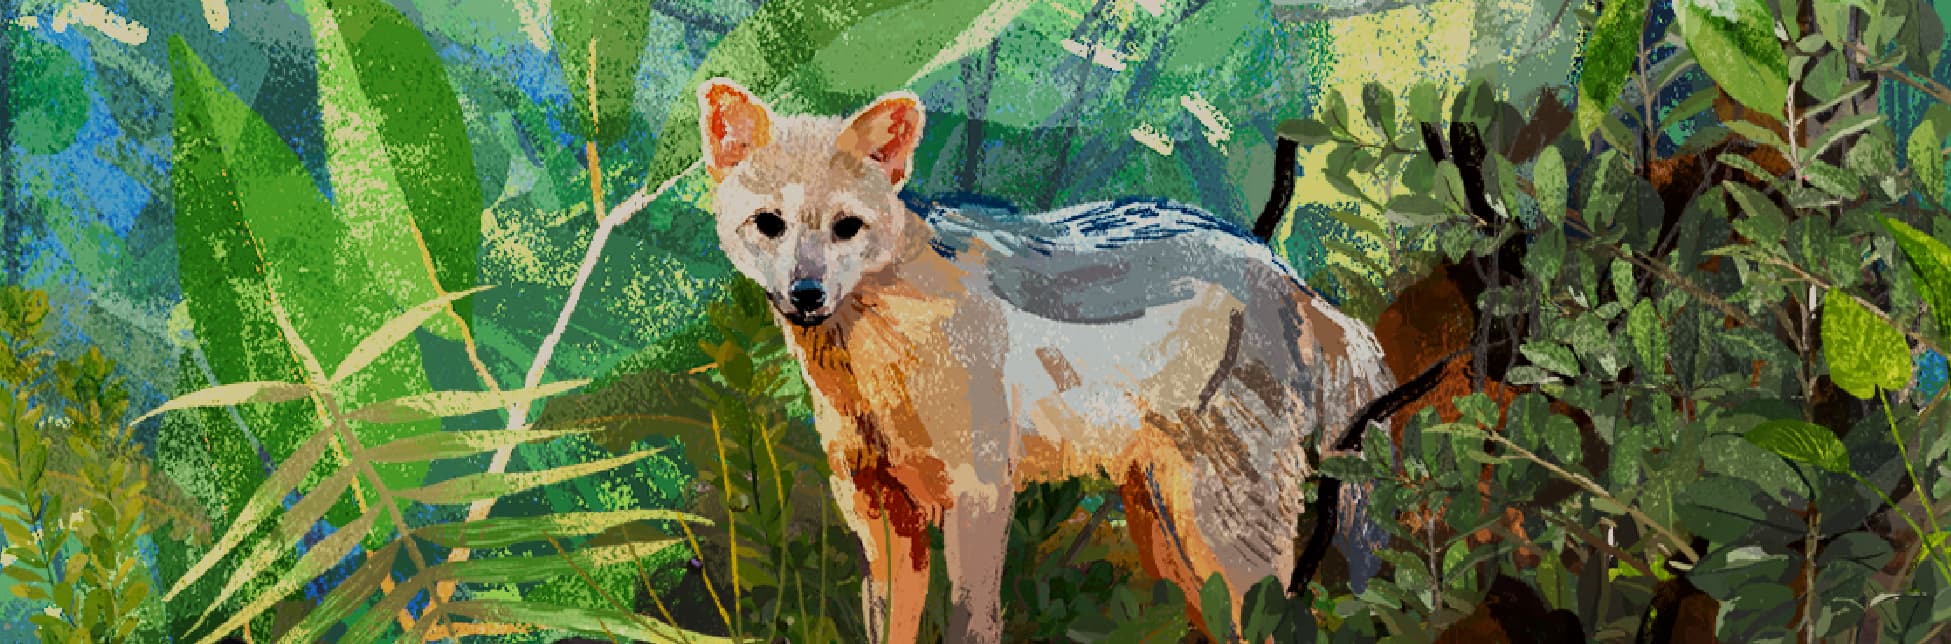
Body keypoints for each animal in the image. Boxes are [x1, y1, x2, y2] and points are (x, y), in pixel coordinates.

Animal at [695, 77, 1395, 643]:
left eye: (846, 227)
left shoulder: (978, 495)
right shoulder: (879, 511)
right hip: (1167, 533)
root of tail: (1286, 274)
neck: (875, 370)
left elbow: (972, 625)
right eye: (770, 224)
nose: (806, 294)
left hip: (1215, 532)